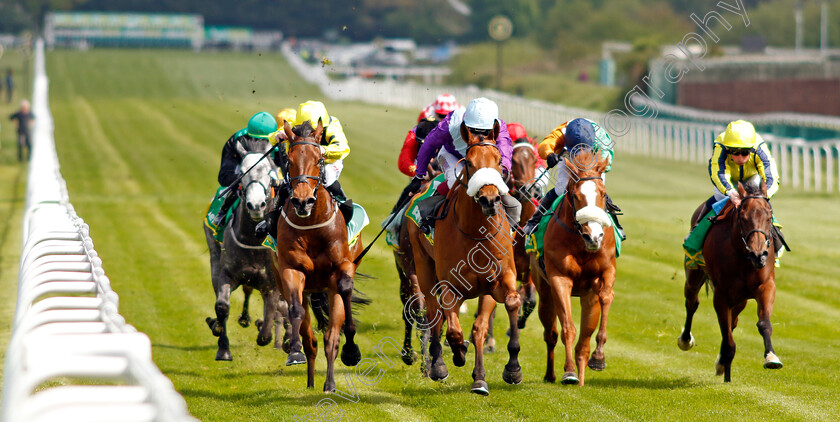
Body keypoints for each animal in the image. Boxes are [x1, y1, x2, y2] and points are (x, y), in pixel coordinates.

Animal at [205, 140, 290, 362]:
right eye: (242, 172)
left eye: (269, 172)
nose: (256, 205)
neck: (254, 240)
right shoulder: (227, 273)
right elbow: (222, 306)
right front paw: (223, 346)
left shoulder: (271, 285)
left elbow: (267, 329)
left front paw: (265, 329)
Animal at [270, 119, 362, 392]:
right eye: (289, 160)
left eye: (320, 159)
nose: (303, 201)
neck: (313, 225)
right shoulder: (291, 270)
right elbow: (295, 311)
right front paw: (294, 351)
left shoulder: (342, 267)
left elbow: (345, 288)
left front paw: (352, 350)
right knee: (311, 338)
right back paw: (311, 379)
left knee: (331, 338)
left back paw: (330, 382)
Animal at [408, 122, 520, 396]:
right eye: (469, 162)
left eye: (499, 160)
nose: (490, 199)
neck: (477, 232)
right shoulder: (449, 284)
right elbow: (453, 330)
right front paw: (456, 355)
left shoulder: (497, 281)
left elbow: (499, 313)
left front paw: (507, 370)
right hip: (423, 267)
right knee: (434, 312)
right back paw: (438, 364)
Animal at [532, 148, 616, 386]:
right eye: (576, 195)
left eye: (603, 194)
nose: (594, 236)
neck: (580, 243)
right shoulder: (559, 279)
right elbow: (568, 327)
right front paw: (568, 371)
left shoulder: (605, 272)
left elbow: (606, 296)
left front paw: (599, 357)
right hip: (544, 292)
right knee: (551, 334)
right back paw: (553, 374)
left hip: (588, 297)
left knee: (584, 343)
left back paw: (583, 376)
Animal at [676, 178, 780, 382]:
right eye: (743, 218)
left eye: (769, 217)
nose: (759, 255)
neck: (743, 256)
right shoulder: (722, 294)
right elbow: (728, 336)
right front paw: (725, 370)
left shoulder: (765, 286)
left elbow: (763, 323)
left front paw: (771, 357)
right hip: (693, 271)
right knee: (692, 302)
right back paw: (686, 340)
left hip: (741, 299)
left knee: (734, 321)